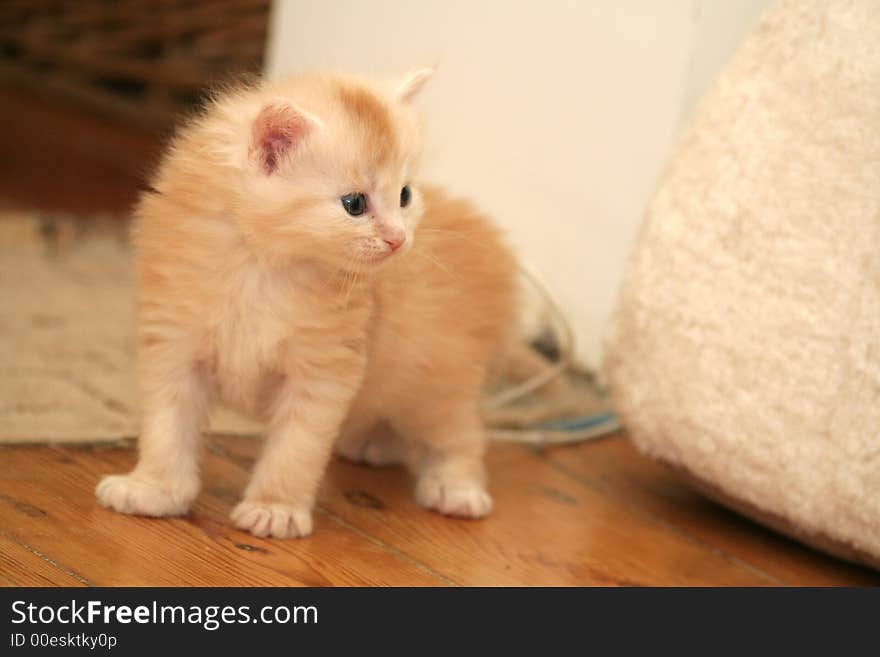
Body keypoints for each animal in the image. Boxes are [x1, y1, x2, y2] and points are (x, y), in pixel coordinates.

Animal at [94, 69, 524, 536]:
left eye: (405, 195)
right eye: (354, 204)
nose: (398, 239)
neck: (263, 265)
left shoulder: (322, 372)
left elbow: (295, 449)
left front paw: (274, 508)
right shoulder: (174, 346)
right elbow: (166, 428)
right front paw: (154, 488)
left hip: (441, 378)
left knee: (461, 436)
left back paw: (456, 488)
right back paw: (373, 443)